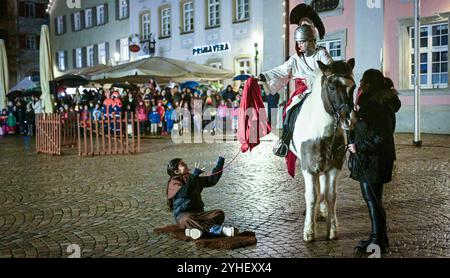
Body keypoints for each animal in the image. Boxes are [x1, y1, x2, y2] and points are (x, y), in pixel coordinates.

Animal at [290, 58, 356, 241]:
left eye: (353, 87)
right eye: (332, 87)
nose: (349, 119)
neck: (321, 132)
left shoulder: (334, 167)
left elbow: (331, 195)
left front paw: (332, 229)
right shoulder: (308, 168)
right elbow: (312, 196)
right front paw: (308, 231)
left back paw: (322, 212)